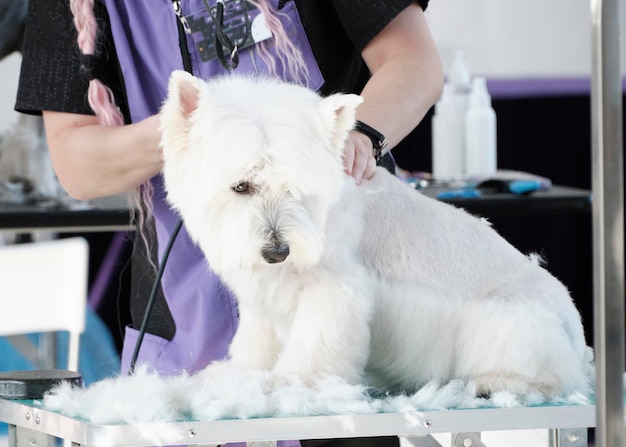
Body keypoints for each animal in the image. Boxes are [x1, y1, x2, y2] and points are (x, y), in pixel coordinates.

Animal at [160, 71, 588, 402]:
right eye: (241, 186)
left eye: (295, 187)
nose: (278, 252)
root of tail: (577, 331)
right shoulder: (264, 299)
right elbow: (255, 343)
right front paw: (240, 373)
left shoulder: (335, 287)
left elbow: (318, 341)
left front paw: (294, 382)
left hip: (516, 323)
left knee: (545, 374)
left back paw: (495, 383)